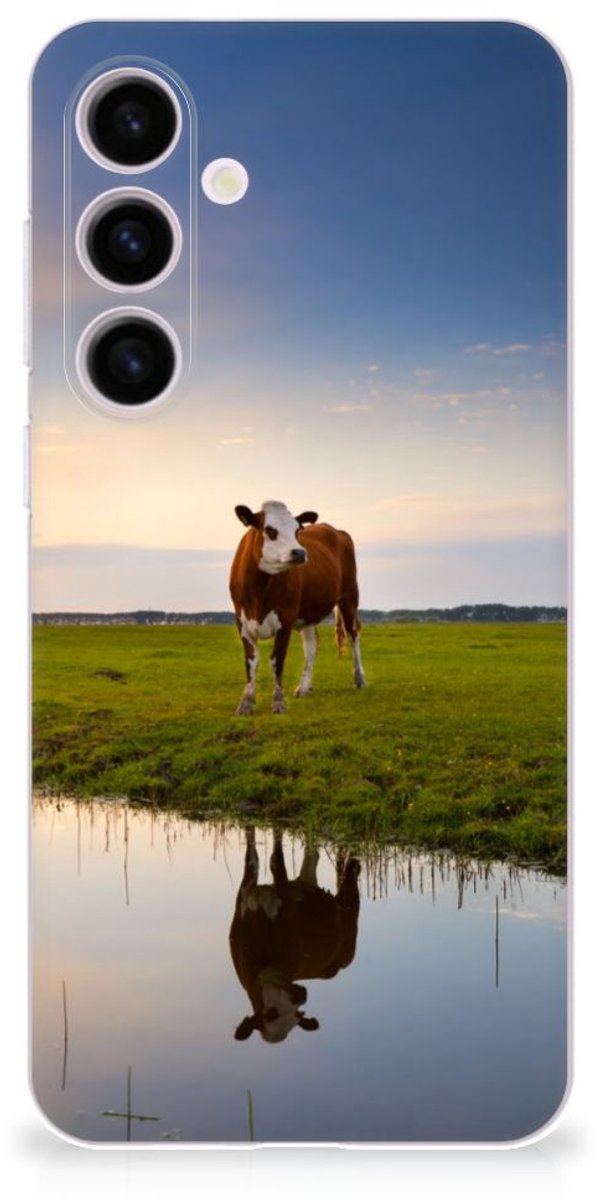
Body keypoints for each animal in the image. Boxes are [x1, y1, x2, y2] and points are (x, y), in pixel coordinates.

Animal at [229, 500, 366, 715]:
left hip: (349, 597)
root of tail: (336, 530)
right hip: (308, 613)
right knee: (311, 645)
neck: (258, 592)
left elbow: (277, 661)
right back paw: (303, 687)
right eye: (270, 530)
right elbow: (251, 662)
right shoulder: (242, 622)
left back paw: (359, 679)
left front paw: (278, 702)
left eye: (297, 530)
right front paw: (246, 703)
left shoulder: (285, 619)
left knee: (354, 635)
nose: (300, 552)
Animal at [229, 827, 361, 1043]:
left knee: (350, 890)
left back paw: (354, 866)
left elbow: (276, 861)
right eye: (270, 1014)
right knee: (312, 855)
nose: (301, 996)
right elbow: (252, 855)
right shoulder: (245, 893)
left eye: (297, 1016)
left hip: (350, 923)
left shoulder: (287, 904)